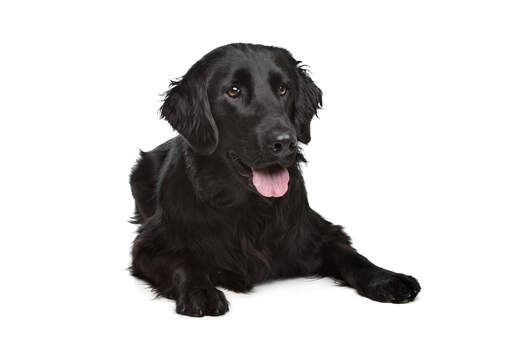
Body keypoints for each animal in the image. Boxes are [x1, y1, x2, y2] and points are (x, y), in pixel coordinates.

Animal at [128, 42, 420, 316]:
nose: (284, 142)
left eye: (283, 89)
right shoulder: (148, 246)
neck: (247, 208)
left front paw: (387, 278)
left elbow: (351, 256)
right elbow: (183, 262)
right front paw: (200, 290)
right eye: (233, 90)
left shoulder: (319, 231)